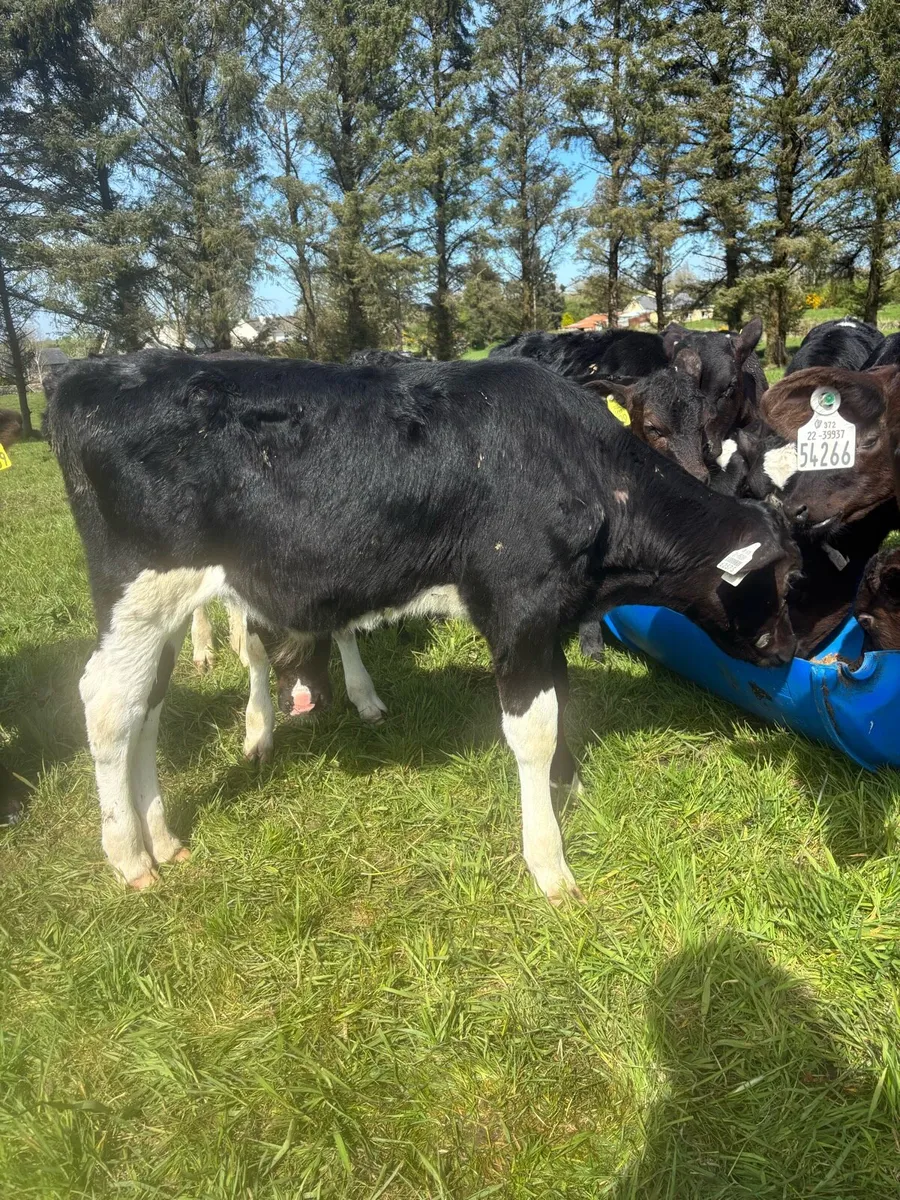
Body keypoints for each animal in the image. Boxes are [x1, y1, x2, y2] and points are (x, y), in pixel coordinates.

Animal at [46, 351, 799, 901]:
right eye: (790, 578)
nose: (789, 652)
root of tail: (86, 373)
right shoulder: (518, 604)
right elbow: (533, 729)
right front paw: (548, 861)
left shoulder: (546, 615)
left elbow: (560, 699)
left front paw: (568, 787)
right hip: (142, 589)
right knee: (107, 705)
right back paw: (129, 856)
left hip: (162, 610)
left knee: (147, 703)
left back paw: (162, 837)